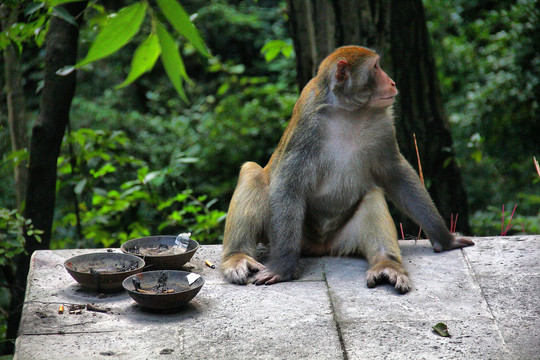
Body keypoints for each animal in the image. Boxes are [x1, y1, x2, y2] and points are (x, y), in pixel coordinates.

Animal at [219, 45, 472, 292]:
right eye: (376, 67)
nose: (392, 82)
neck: (349, 112)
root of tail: (321, 247)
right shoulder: (308, 125)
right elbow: (288, 185)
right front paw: (282, 268)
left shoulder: (383, 124)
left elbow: (395, 174)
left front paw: (445, 240)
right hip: (291, 236)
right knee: (252, 172)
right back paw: (237, 257)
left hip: (344, 239)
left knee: (373, 196)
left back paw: (386, 264)